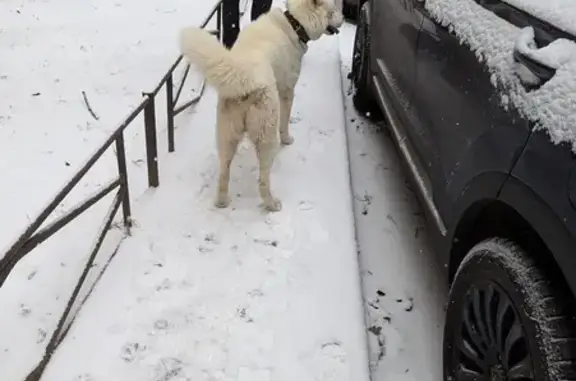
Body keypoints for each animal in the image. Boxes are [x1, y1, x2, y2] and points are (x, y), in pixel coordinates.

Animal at [180, 0, 342, 211]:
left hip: (226, 134)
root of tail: (244, 75)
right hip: (266, 135)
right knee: (263, 180)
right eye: (334, 10)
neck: (294, 22)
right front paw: (287, 139)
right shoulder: (287, 90)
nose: (343, 19)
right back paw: (272, 204)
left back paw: (222, 202)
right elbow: (285, 121)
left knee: (224, 171)